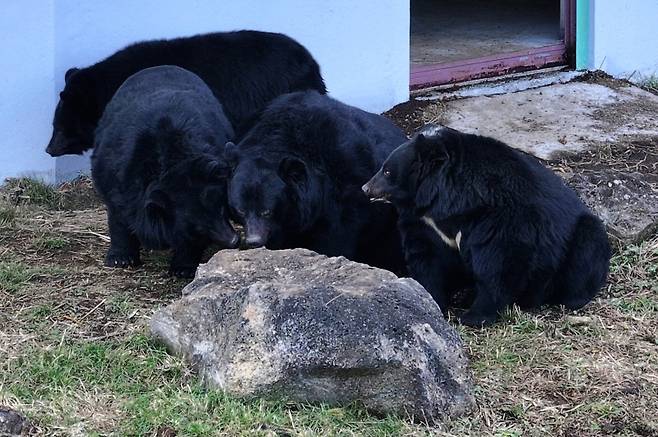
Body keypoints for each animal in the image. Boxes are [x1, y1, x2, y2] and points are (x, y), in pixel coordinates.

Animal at [91, 65, 237, 276]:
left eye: (222, 209)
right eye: (197, 227)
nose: (233, 240)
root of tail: (160, 66)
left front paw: (183, 268)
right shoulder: (115, 175)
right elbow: (118, 215)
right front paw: (120, 259)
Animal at [362, 124, 608, 326]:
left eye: (387, 171)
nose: (365, 188)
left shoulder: (498, 217)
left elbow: (498, 262)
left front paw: (473, 317)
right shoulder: (424, 224)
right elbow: (427, 258)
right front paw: (430, 301)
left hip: (582, 239)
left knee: (585, 251)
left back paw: (570, 298)